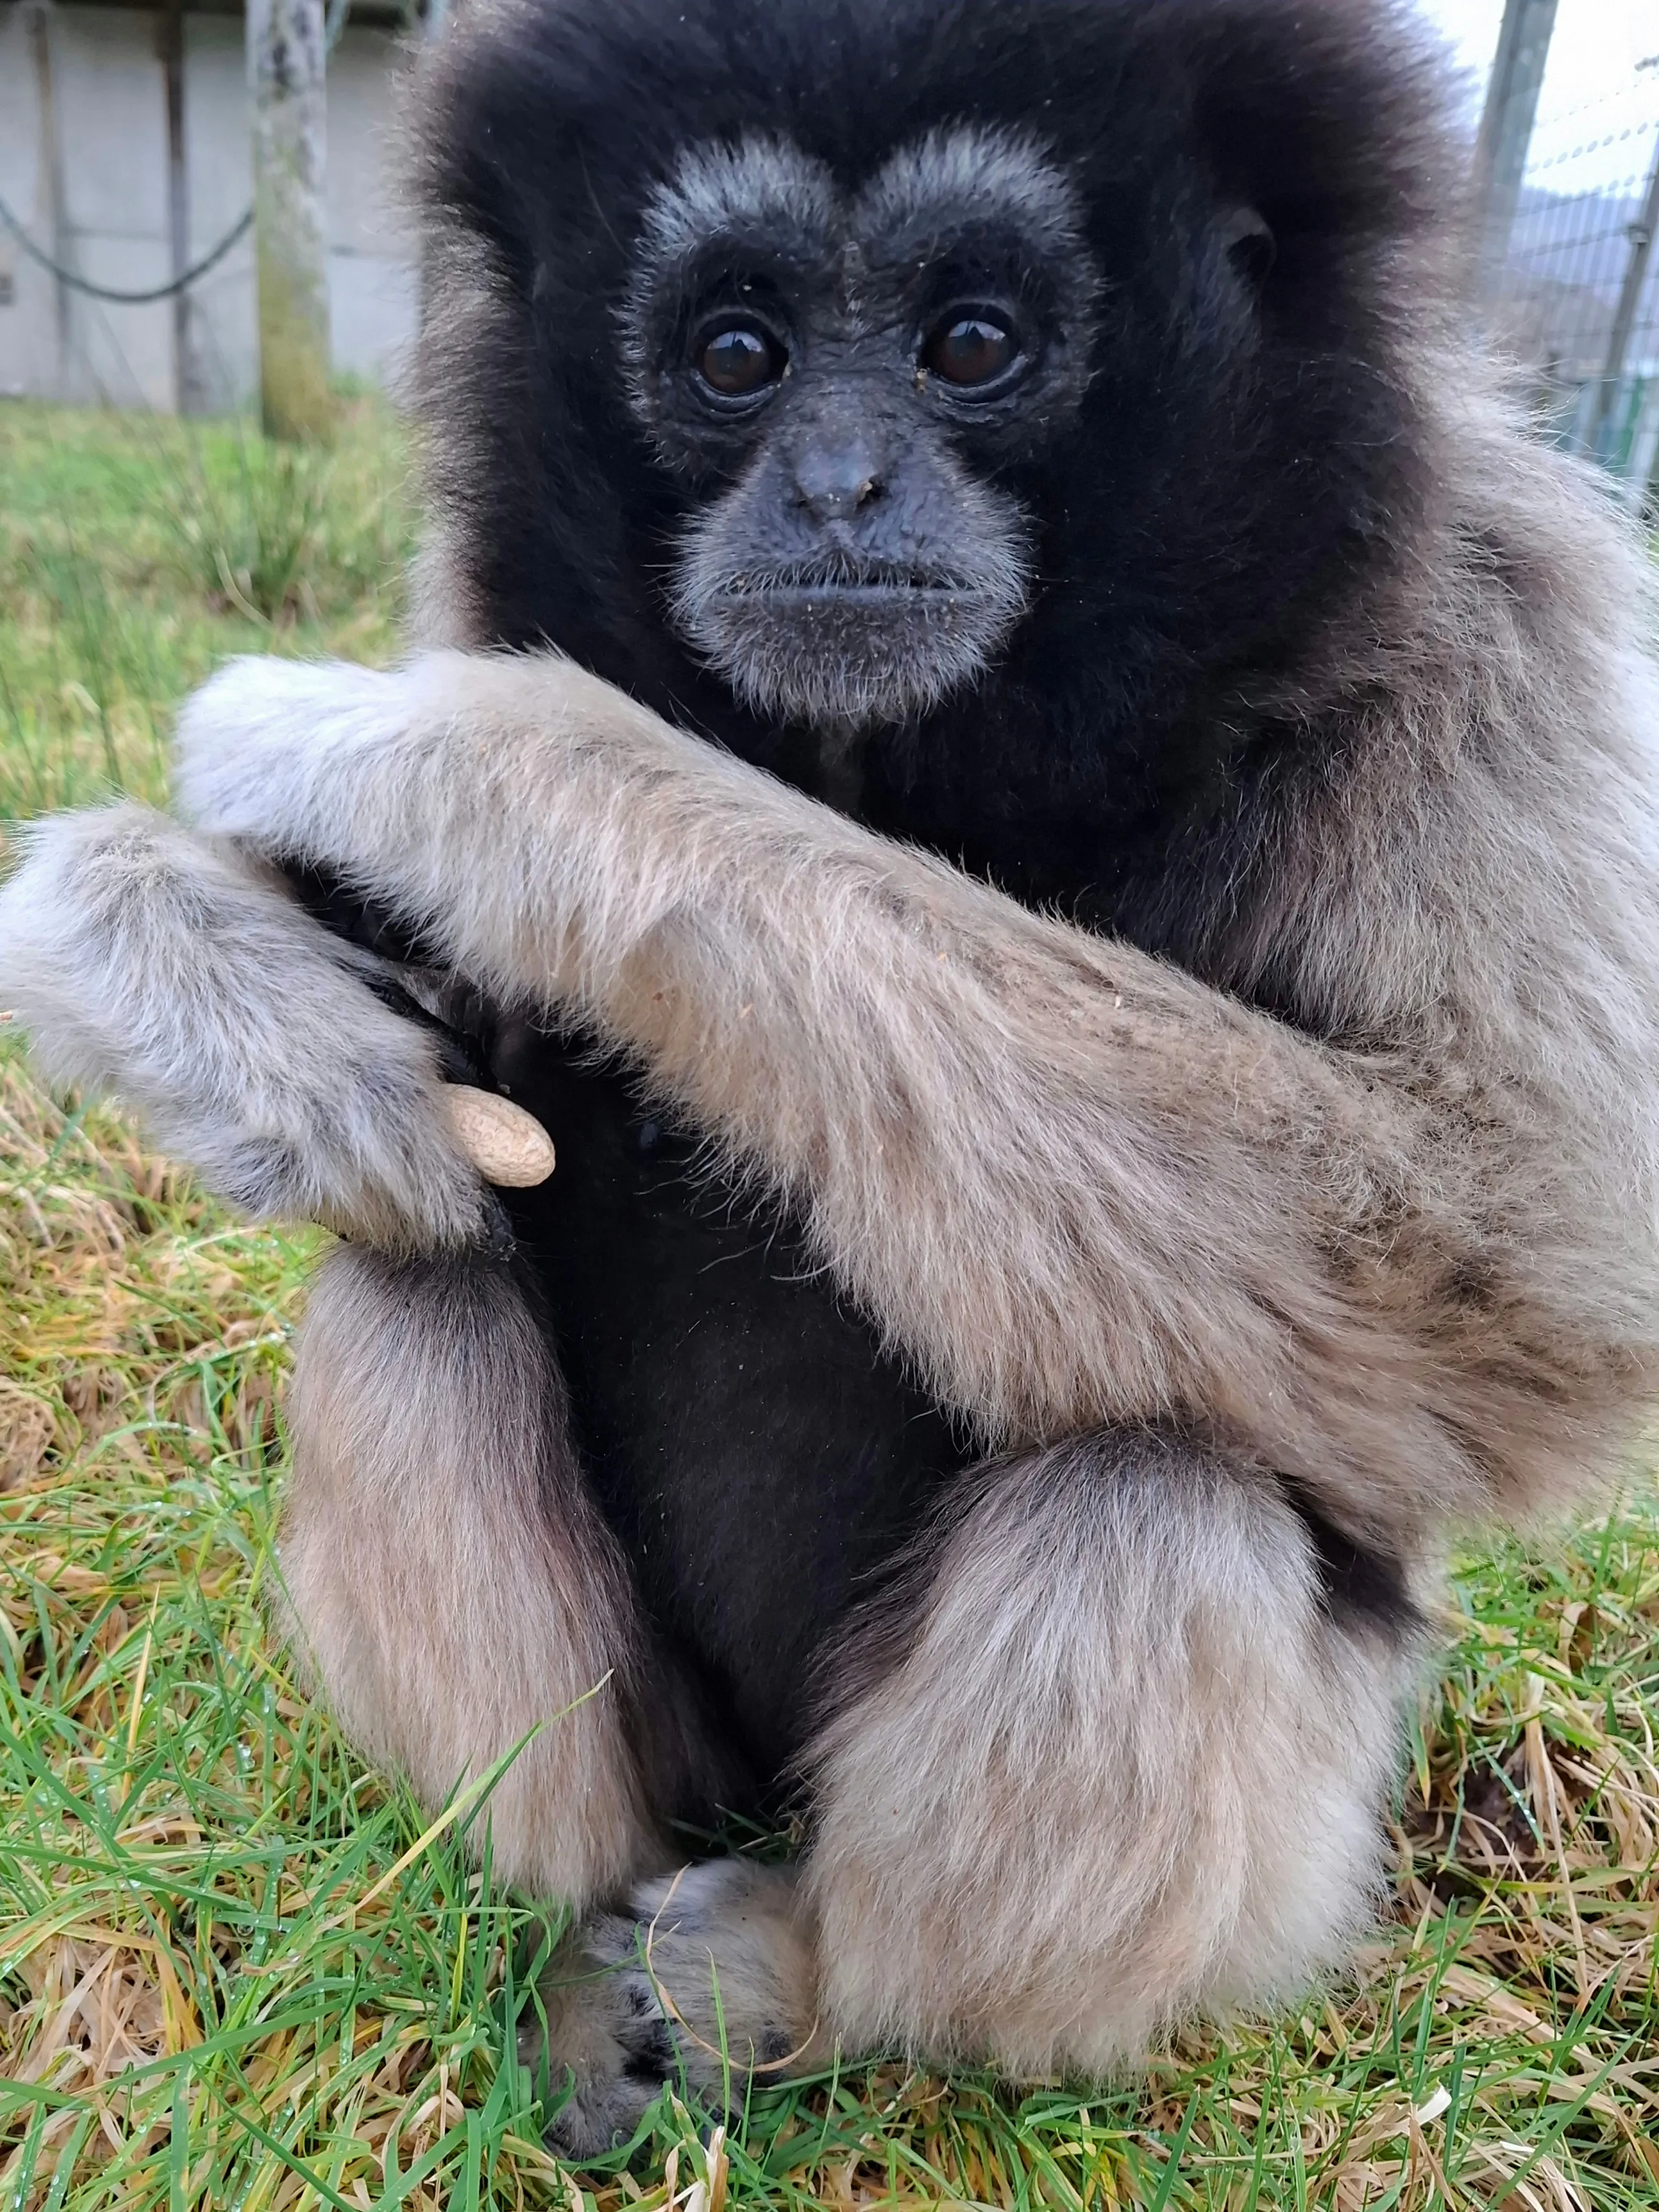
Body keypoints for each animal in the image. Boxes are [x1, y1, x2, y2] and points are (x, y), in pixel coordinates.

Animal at [4, 0, 1659, 2158]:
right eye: (738, 354)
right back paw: (581, 1940)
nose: (844, 485)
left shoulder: (1495, 598)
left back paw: (801, 1994)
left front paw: (453, 762)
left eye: (970, 342)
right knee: (411, 1285)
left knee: (1159, 1496)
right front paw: (251, 1018)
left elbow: (1509, 1266)